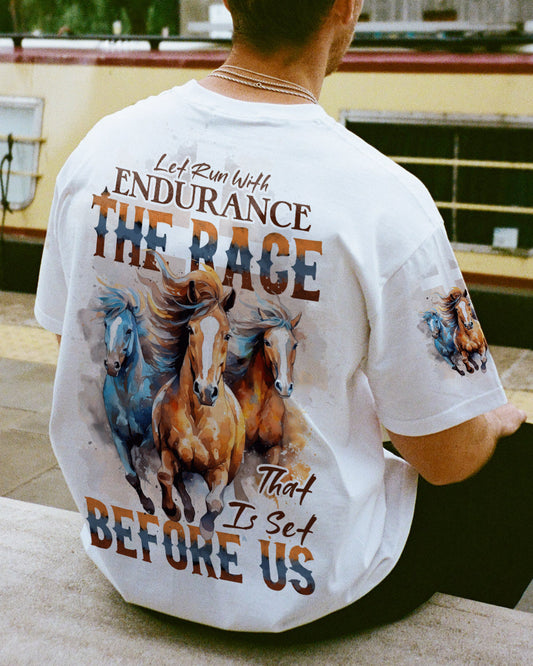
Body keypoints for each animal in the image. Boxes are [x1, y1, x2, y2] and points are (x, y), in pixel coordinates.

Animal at [99, 286, 159, 514]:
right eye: (106, 325)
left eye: (128, 330)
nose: (112, 365)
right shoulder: (119, 437)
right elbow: (132, 476)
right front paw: (149, 506)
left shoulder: (149, 437)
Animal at [144, 254, 245, 539]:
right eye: (190, 329)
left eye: (227, 334)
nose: (206, 390)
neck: (197, 416)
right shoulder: (168, 451)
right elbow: (165, 476)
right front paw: (172, 511)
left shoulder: (219, 469)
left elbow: (214, 502)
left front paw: (207, 527)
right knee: (178, 481)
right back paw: (186, 511)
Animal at [225, 299, 301, 465]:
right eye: (267, 342)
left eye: (295, 344)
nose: (284, 386)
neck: (262, 402)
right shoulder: (242, 448)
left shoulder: (273, 447)